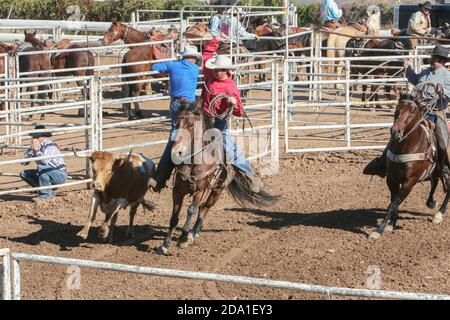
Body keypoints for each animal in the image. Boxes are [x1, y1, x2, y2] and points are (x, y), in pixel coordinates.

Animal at [157, 100, 278, 255]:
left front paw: (183, 238)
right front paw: (165, 244)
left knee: (204, 209)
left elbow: (191, 210)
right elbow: (174, 217)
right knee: (202, 208)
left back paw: (192, 233)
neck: (193, 162)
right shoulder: (177, 190)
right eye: (175, 123)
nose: (176, 152)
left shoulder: (200, 190)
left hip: (217, 191)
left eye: (191, 125)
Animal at [370, 95, 450, 240]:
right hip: (436, 171)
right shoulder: (392, 179)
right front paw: (391, 224)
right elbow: (393, 201)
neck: (407, 147)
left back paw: (439, 215)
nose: (395, 131)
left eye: (412, 112)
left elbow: (394, 203)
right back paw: (431, 202)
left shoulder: (409, 182)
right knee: (435, 182)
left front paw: (379, 229)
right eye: (397, 109)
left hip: (445, 170)